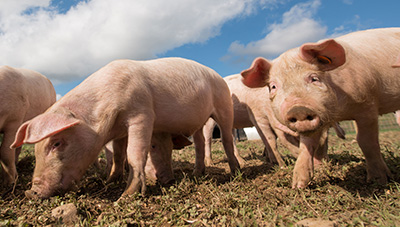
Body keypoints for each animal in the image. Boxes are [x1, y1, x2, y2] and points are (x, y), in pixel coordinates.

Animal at [10, 57, 239, 199]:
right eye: (36, 149)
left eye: (57, 143)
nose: (31, 192)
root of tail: (217, 75)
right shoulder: (118, 131)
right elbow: (119, 156)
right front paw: (110, 181)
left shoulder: (142, 114)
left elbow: (134, 153)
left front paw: (127, 196)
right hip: (199, 121)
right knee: (199, 142)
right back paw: (197, 174)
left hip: (224, 104)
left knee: (227, 138)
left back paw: (236, 172)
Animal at [241, 27, 400, 188]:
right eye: (273, 86)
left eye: (314, 78)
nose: (298, 109)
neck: (340, 113)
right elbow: (306, 146)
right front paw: (298, 185)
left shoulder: (367, 105)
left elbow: (366, 141)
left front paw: (378, 181)